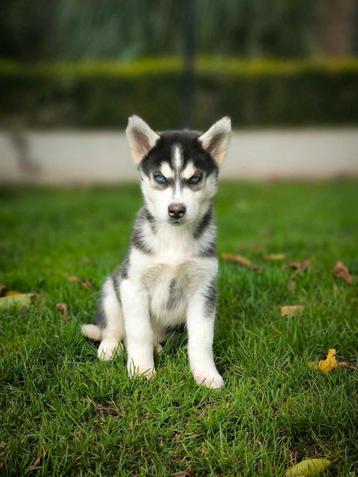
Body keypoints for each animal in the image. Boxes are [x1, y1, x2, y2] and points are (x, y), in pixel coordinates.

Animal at [82, 114, 231, 386]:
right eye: (160, 178)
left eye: (195, 178)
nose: (176, 210)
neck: (174, 239)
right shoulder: (133, 284)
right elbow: (138, 332)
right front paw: (142, 371)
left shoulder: (204, 288)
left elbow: (202, 338)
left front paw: (206, 374)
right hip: (112, 289)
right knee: (114, 329)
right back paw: (109, 349)